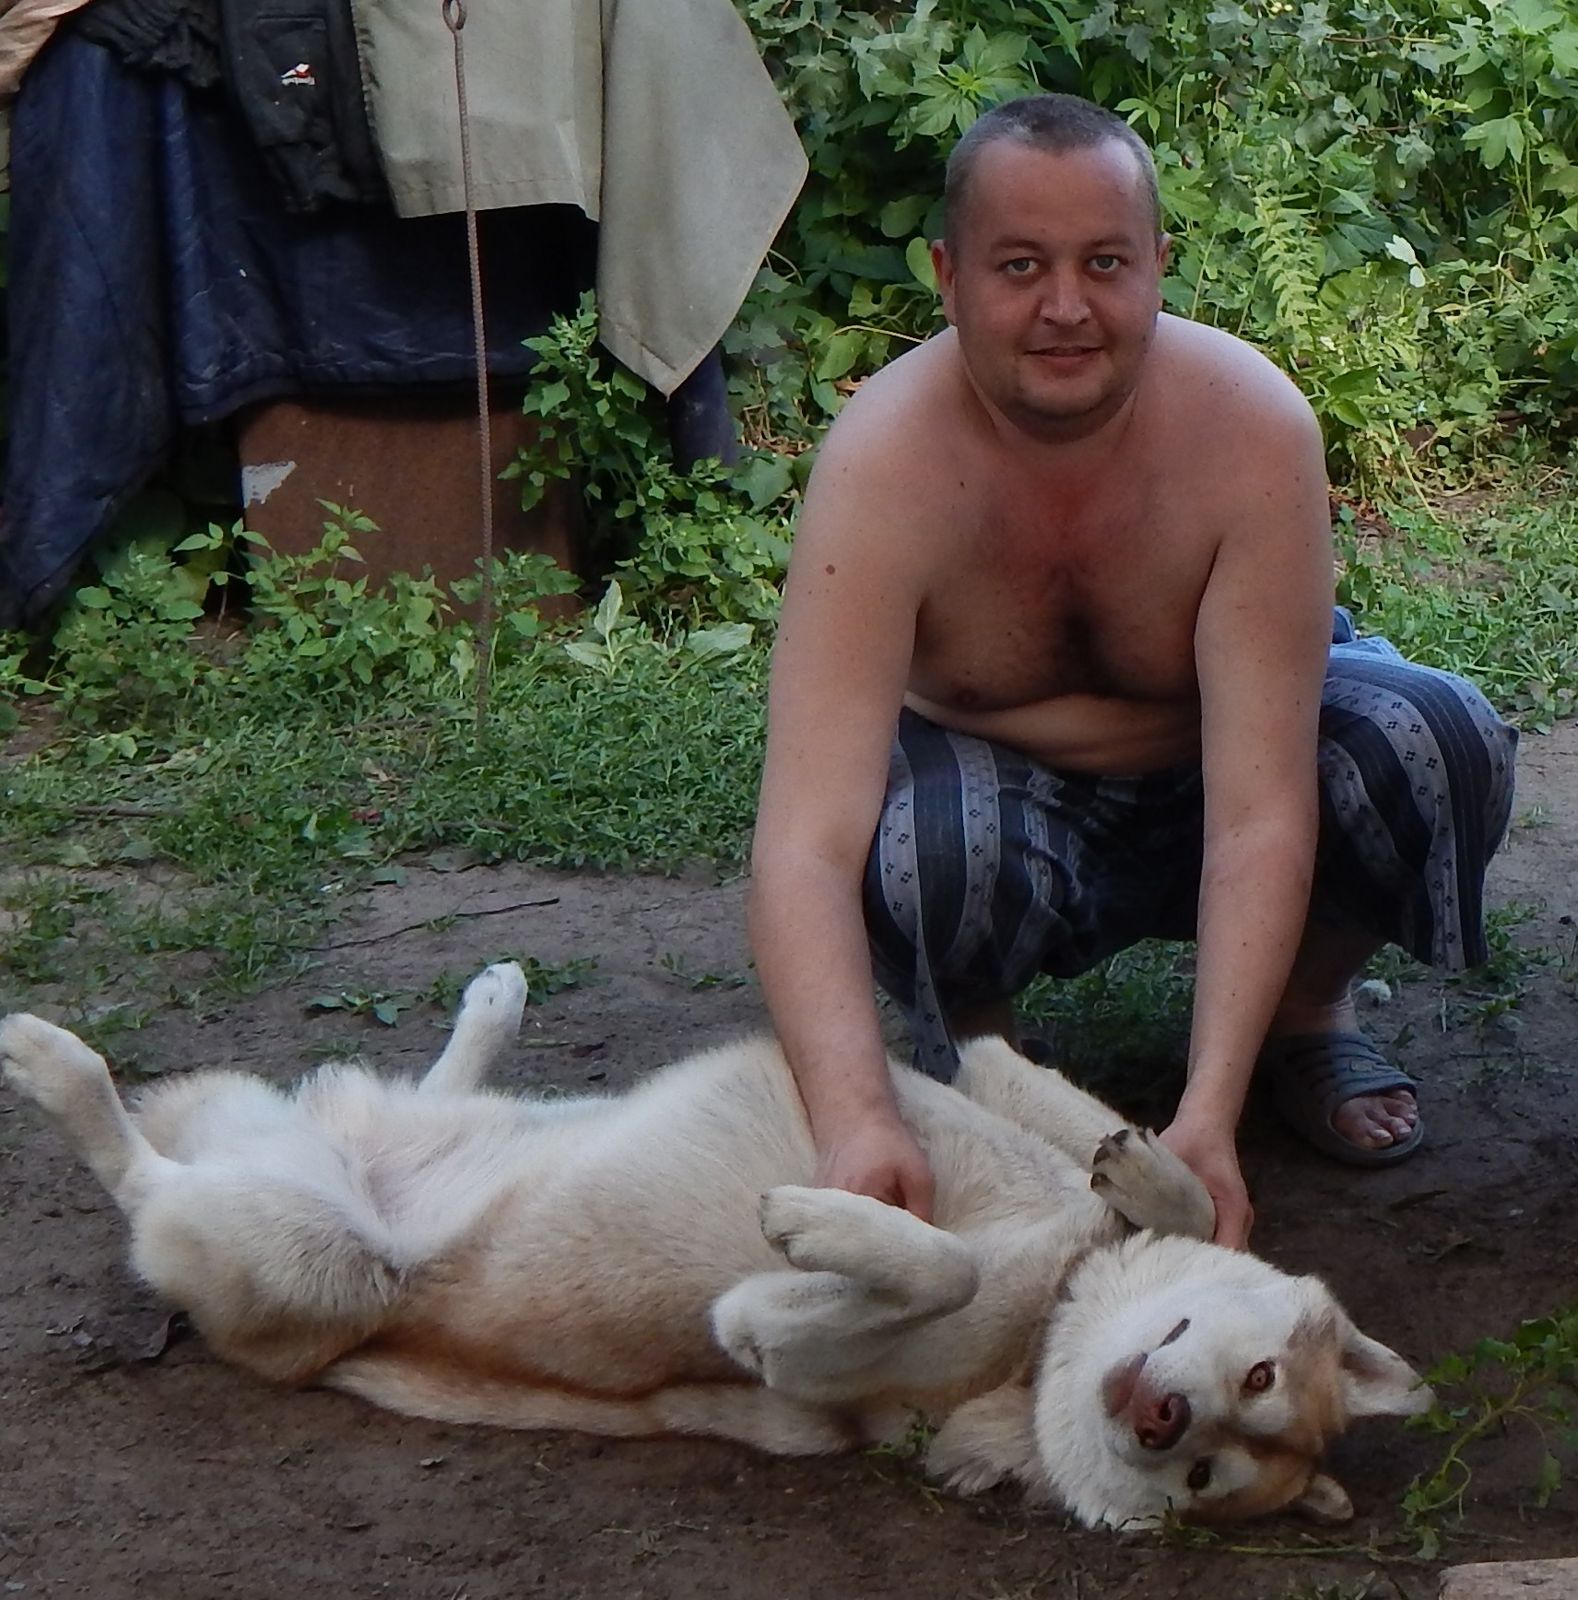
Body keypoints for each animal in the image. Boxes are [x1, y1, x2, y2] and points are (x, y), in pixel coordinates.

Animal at [0, 962, 1429, 1529]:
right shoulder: (979, 1074)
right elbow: (1149, 1174)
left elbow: (917, 1268)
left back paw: (51, 1062)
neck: (1046, 1337)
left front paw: (815, 1226)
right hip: (317, 1205)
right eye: (1254, 1376)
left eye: (1205, 1477)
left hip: (306, 1246)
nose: (1153, 1413)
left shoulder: (772, 1336)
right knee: (163, 1157)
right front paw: (1144, 1170)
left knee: (137, 1178)